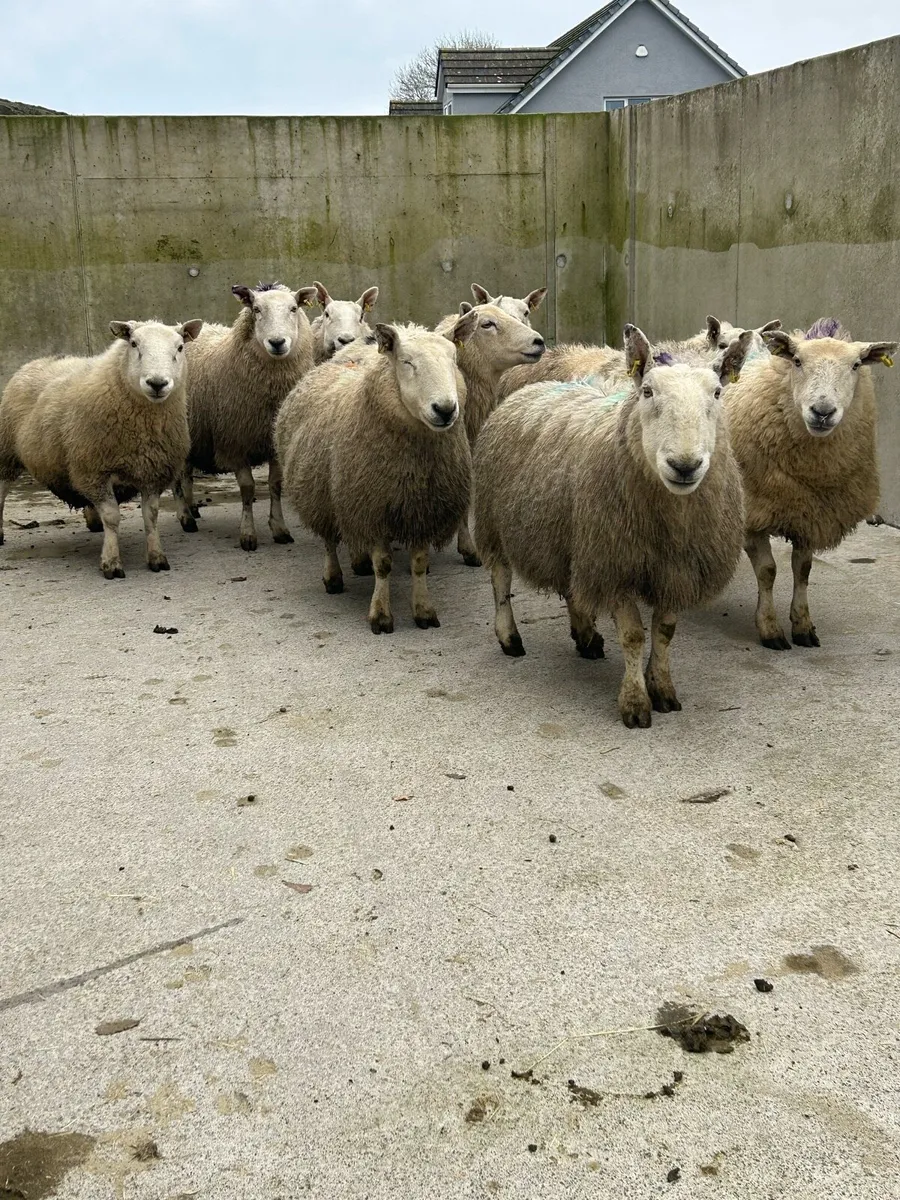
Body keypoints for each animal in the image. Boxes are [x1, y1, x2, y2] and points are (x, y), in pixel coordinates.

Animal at [0, 319, 202, 577]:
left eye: (180, 347)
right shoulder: (95, 471)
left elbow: (151, 517)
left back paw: (93, 521)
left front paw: (156, 557)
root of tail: (36, 361)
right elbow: (112, 517)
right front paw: (112, 562)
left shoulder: (151, 472)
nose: (157, 383)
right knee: (1, 492)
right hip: (7, 453)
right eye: (133, 343)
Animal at [172, 281, 318, 552]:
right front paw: (248, 534)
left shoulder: (273, 442)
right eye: (256, 309)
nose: (277, 342)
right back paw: (185, 517)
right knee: (178, 477)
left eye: (294, 308)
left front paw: (280, 528)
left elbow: (275, 485)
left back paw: (191, 507)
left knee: (186, 474)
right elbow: (248, 490)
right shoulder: (235, 441)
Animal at [275, 311, 477, 633]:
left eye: (454, 359)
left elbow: (419, 563)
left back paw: (358, 561)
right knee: (329, 538)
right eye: (406, 362)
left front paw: (423, 611)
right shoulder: (373, 507)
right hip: (322, 493)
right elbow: (382, 564)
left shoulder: (421, 509)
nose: (445, 410)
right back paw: (333, 577)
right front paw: (380, 614)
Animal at [473, 324, 753, 728]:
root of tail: (534, 387)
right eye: (647, 391)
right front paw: (635, 702)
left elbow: (664, 632)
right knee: (500, 580)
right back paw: (510, 638)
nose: (684, 466)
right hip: (494, 520)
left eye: (717, 392)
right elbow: (634, 636)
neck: (669, 519)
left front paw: (662, 687)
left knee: (573, 587)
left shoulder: (675, 569)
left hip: (573, 535)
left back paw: (586, 636)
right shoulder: (615, 564)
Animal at [725, 318, 897, 651]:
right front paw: (770, 629)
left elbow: (803, 570)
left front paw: (803, 625)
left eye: (856, 365)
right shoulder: (753, 512)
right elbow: (767, 572)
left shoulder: (809, 511)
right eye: (797, 361)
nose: (822, 411)